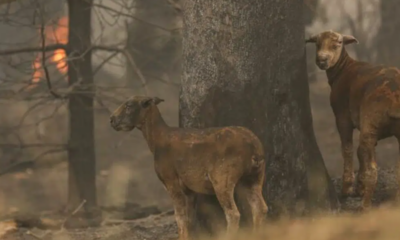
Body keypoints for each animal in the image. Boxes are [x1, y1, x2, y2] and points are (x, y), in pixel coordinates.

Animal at [108, 96, 268, 240]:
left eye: (129, 105)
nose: (112, 120)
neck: (157, 140)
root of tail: (254, 147)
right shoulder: (189, 189)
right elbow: (190, 218)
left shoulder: (170, 181)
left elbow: (180, 216)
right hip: (254, 177)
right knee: (260, 208)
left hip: (223, 178)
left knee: (233, 213)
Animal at [306, 29, 400, 210]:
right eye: (317, 44)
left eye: (338, 44)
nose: (322, 59)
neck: (344, 68)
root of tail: (394, 101)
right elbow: (359, 152)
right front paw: (359, 187)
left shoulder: (342, 116)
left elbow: (348, 149)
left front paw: (348, 188)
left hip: (370, 122)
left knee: (373, 169)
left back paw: (365, 206)